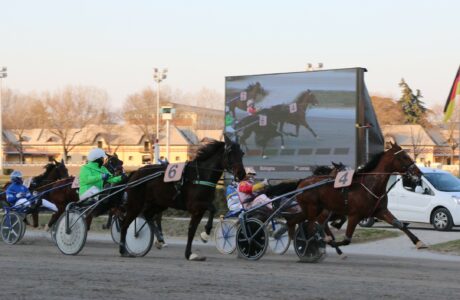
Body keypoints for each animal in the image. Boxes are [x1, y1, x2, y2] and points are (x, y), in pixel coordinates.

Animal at [294, 143, 428, 251]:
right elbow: (346, 240)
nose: (419, 172)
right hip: (313, 208)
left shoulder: (380, 211)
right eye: (404, 156)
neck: (371, 185)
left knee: (318, 222)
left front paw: (419, 242)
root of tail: (302, 182)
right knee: (312, 225)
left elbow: (399, 224)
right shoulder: (354, 215)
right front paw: (329, 242)